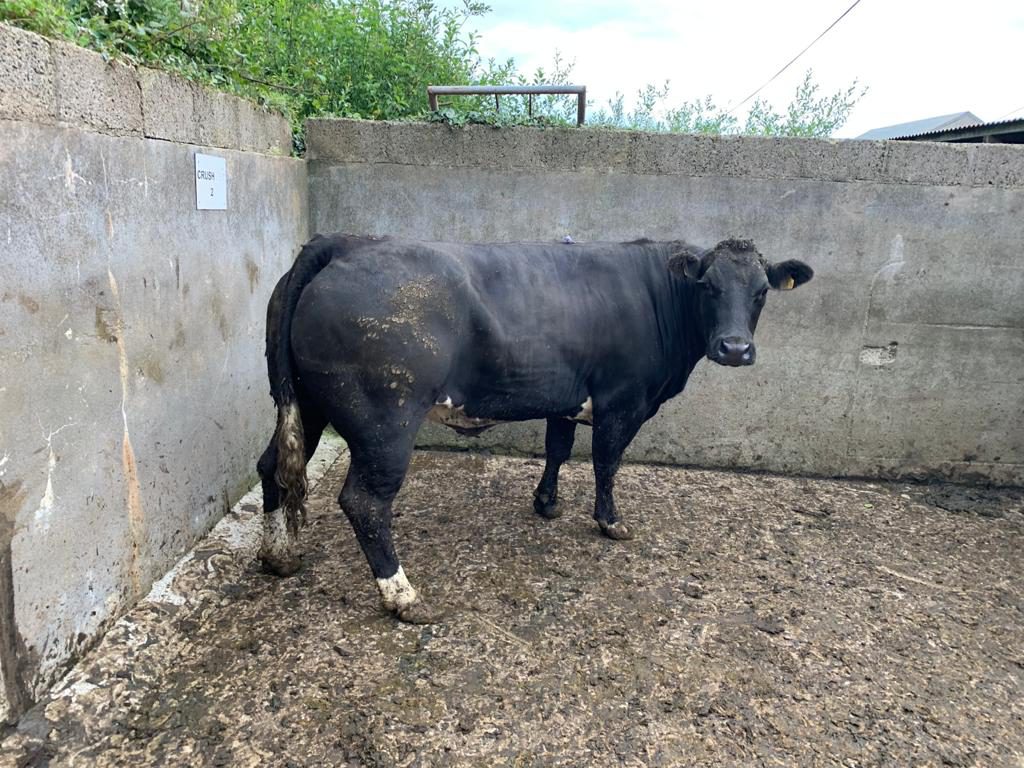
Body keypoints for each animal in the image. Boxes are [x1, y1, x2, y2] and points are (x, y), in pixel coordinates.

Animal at [256, 234, 813, 623]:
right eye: (709, 287)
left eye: (761, 292)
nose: (735, 348)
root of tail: (346, 241)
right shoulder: (623, 401)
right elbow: (607, 462)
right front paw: (610, 522)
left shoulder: (564, 398)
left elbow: (558, 450)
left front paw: (546, 503)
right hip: (385, 420)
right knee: (366, 501)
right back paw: (403, 595)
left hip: (304, 403)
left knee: (272, 467)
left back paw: (277, 555)